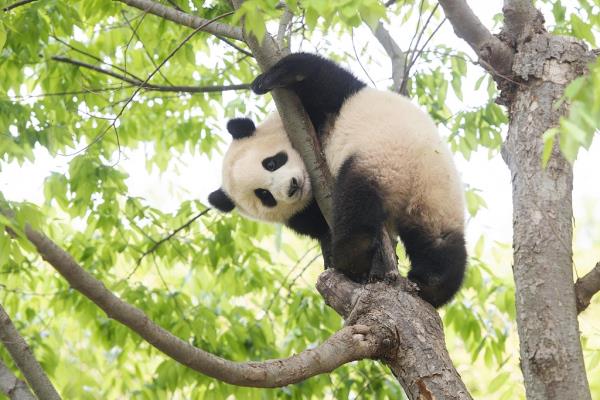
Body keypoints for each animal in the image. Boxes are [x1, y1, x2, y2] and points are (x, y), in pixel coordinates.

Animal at [209, 52, 466, 306]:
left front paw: (268, 79)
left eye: (271, 163)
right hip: (427, 193)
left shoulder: (323, 105)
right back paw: (428, 281)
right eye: (264, 195)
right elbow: (317, 224)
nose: (292, 187)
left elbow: (320, 77)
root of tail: (404, 186)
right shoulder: (304, 211)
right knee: (436, 240)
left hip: (394, 166)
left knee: (356, 203)